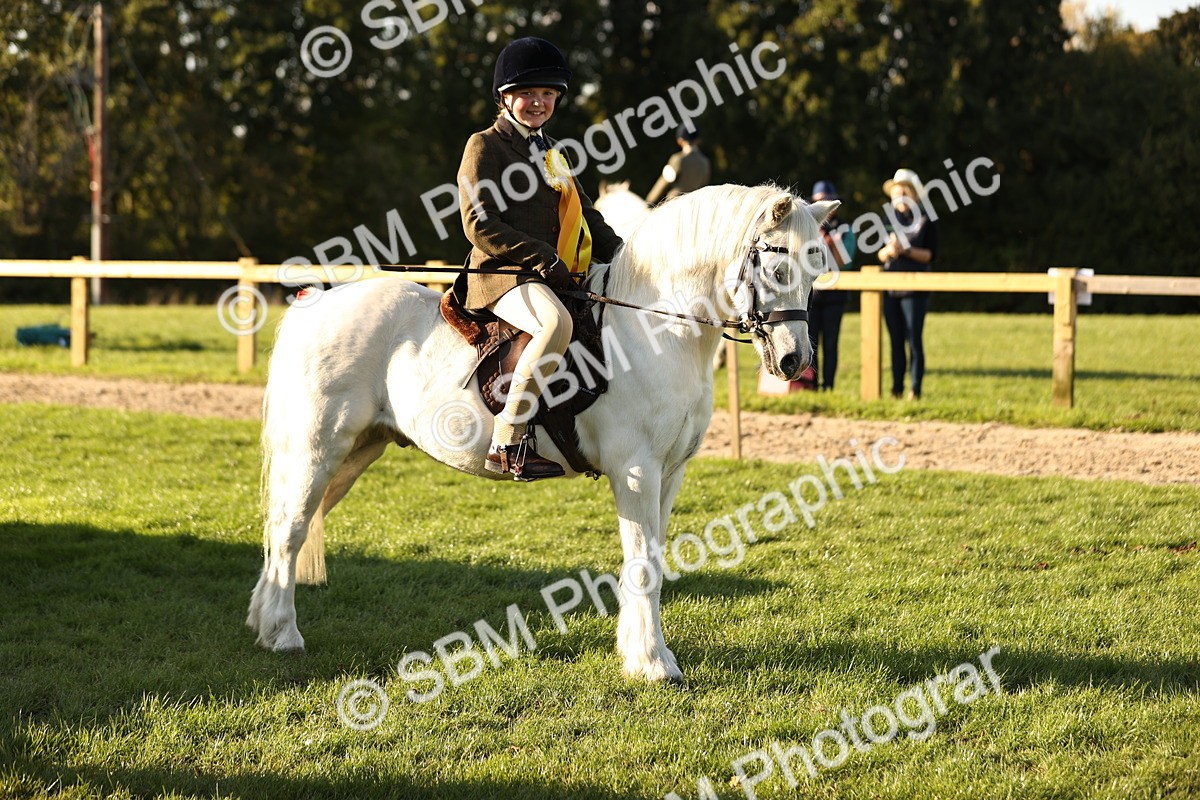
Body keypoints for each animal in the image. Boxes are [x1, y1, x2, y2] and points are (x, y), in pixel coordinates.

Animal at [246, 183, 839, 683]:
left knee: (289, 530)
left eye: (815, 270)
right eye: (778, 265)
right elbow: (643, 561)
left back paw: (262, 621)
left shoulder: (670, 473)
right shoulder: (637, 471)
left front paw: (642, 654)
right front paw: (652, 665)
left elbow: (653, 557)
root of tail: (317, 302)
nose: (794, 361)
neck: (654, 328)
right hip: (318, 449)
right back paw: (284, 635)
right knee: (291, 530)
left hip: (355, 452)